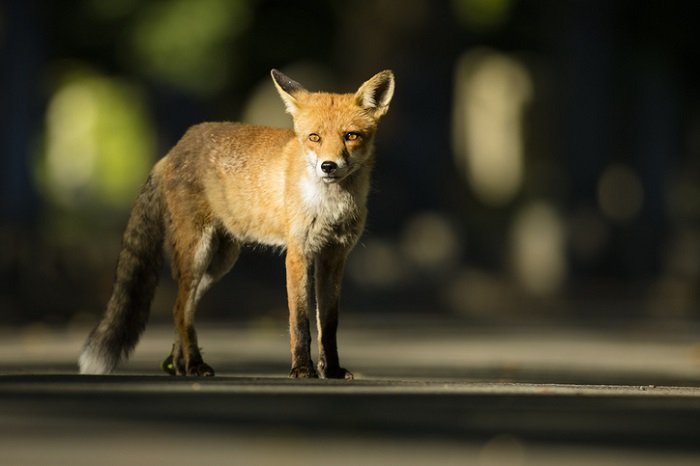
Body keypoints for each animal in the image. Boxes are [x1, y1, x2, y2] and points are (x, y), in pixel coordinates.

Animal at [78, 68, 394, 378]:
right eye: (314, 137)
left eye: (351, 136)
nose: (328, 166)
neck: (331, 205)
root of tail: (173, 150)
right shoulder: (298, 254)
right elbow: (300, 321)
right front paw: (302, 369)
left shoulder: (334, 256)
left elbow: (328, 323)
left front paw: (333, 370)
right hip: (198, 254)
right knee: (180, 309)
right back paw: (195, 364)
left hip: (218, 263)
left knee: (184, 310)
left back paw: (181, 365)